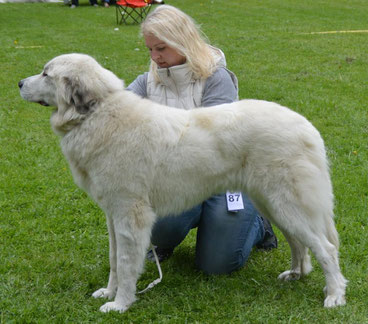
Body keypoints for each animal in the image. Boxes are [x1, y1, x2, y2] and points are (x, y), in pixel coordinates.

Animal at [19, 53, 348, 312]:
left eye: (46, 74)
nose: (20, 83)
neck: (97, 114)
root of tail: (307, 127)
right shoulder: (113, 214)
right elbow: (114, 259)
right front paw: (109, 292)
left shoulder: (130, 213)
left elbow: (125, 263)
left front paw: (120, 304)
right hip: (275, 205)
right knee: (299, 243)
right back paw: (296, 274)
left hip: (287, 204)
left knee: (326, 248)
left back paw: (334, 295)